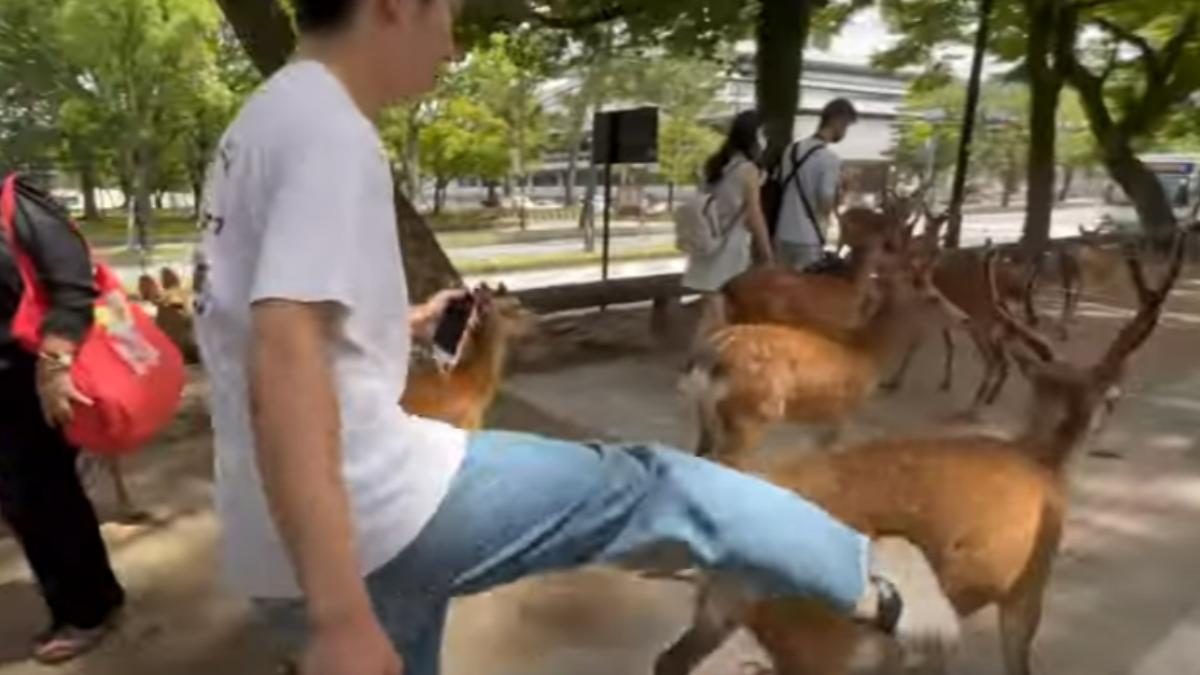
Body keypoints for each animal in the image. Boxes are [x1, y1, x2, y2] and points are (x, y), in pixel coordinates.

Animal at [681, 249, 969, 458]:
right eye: (933, 296)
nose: (964, 318)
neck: (868, 350)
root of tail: (709, 361)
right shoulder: (843, 409)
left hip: (707, 416)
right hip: (751, 415)